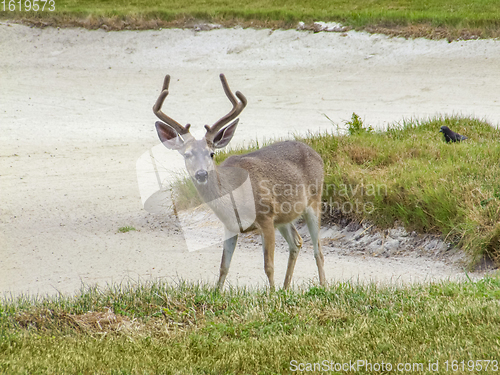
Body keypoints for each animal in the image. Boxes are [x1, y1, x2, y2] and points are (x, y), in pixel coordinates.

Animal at [152, 74, 326, 290]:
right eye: (187, 154)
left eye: (211, 153)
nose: (201, 174)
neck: (235, 199)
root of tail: (316, 153)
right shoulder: (230, 226)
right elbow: (223, 266)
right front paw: (217, 293)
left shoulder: (266, 216)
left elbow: (268, 265)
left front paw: (272, 295)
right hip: (284, 216)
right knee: (297, 242)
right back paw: (286, 289)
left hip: (314, 201)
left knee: (318, 250)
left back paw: (322, 286)